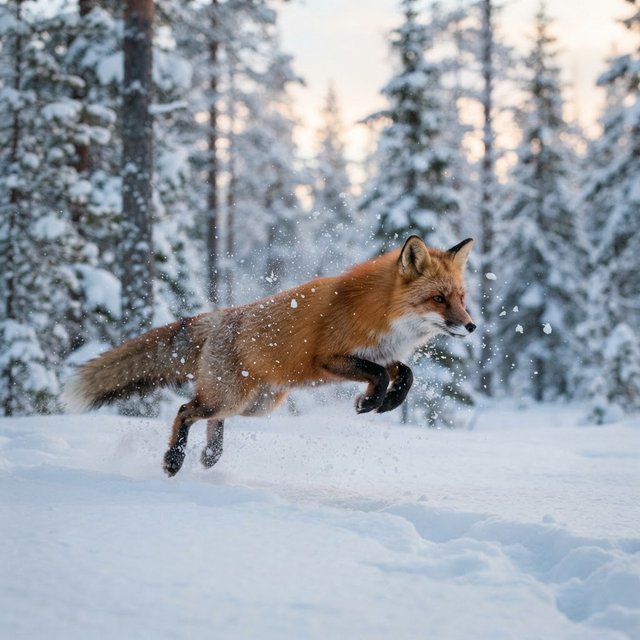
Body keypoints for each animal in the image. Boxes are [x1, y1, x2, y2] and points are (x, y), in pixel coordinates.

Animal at [63, 235, 476, 477]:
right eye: (438, 299)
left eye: (460, 297)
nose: (471, 326)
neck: (379, 311)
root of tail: (218, 316)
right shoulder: (330, 359)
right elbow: (379, 374)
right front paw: (370, 402)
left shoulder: (383, 354)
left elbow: (404, 375)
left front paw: (387, 403)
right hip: (232, 397)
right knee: (184, 410)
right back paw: (174, 460)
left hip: (254, 404)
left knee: (209, 418)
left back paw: (210, 455)